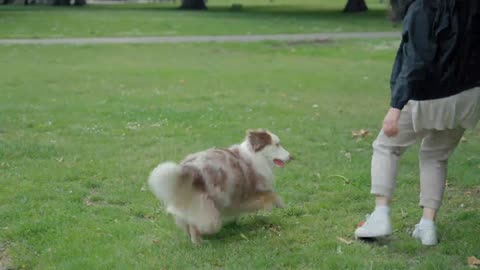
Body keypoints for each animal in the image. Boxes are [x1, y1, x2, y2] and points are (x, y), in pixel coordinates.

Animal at [147, 130, 288, 244]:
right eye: (277, 144)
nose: (291, 157)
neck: (254, 155)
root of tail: (190, 168)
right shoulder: (251, 191)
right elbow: (272, 195)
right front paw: (279, 205)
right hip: (207, 204)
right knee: (197, 224)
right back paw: (199, 242)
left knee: (187, 220)